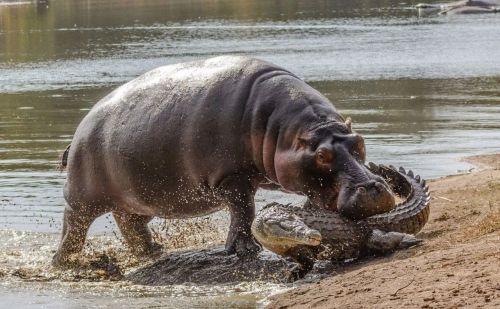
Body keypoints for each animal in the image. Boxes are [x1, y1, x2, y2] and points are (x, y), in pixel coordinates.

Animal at [52, 56, 396, 264]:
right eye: (323, 155)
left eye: (359, 142)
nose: (374, 188)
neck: (283, 130)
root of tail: (78, 131)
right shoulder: (231, 178)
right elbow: (244, 211)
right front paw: (245, 250)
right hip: (83, 198)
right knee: (73, 226)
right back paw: (66, 263)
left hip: (139, 199)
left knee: (130, 224)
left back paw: (154, 252)